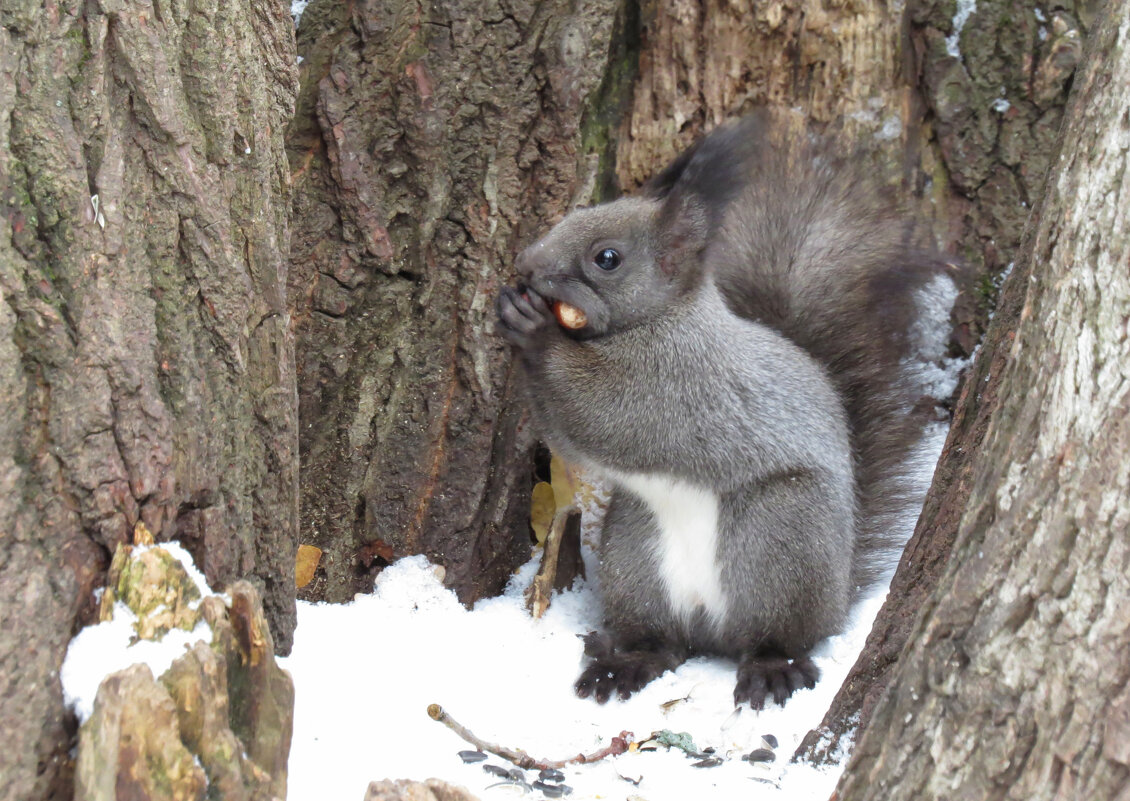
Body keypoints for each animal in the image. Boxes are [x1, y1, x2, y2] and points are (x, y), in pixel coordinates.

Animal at [499, 110, 949, 704]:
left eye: (607, 259)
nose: (524, 266)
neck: (661, 322)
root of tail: (710, 627)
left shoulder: (679, 388)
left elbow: (603, 414)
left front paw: (534, 333)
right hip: (635, 556)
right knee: (662, 641)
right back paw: (625, 663)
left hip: (779, 539)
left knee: (774, 636)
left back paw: (773, 667)